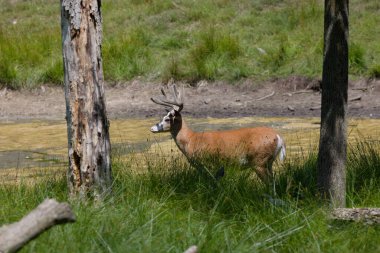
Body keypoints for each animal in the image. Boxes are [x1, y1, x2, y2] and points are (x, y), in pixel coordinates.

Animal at [150, 84, 286, 182]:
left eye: (167, 119)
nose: (152, 128)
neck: (192, 140)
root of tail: (279, 137)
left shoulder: (208, 163)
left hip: (259, 161)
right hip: (268, 162)